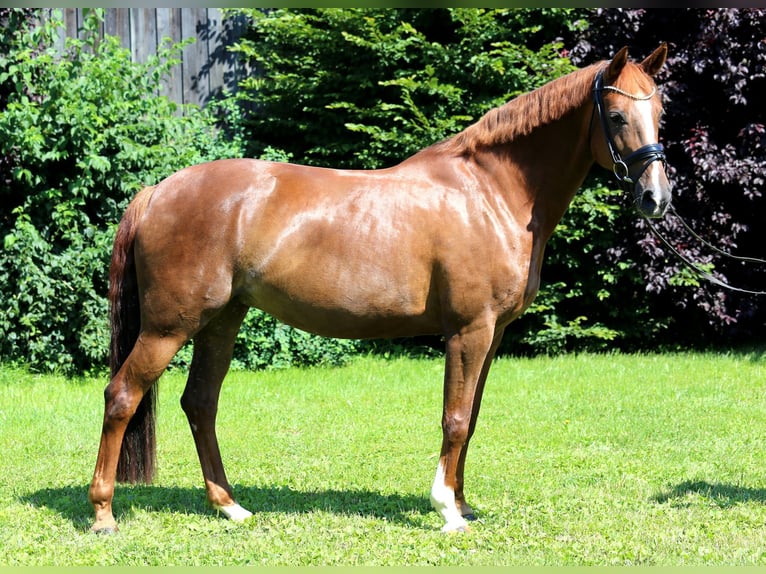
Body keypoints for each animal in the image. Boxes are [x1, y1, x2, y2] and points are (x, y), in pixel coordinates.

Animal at [87, 45, 668, 536]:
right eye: (617, 116)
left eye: (660, 112)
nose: (656, 198)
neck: (490, 194)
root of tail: (159, 190)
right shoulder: (469, 331)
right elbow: (455, 418)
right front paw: (446, 511)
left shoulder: (494, 334)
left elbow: (473, 418)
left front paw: (462, 504)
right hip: (169, 326)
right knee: (121, 397)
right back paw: (103, 515)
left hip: (221, 320)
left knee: (200, 403)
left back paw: (230, 507)